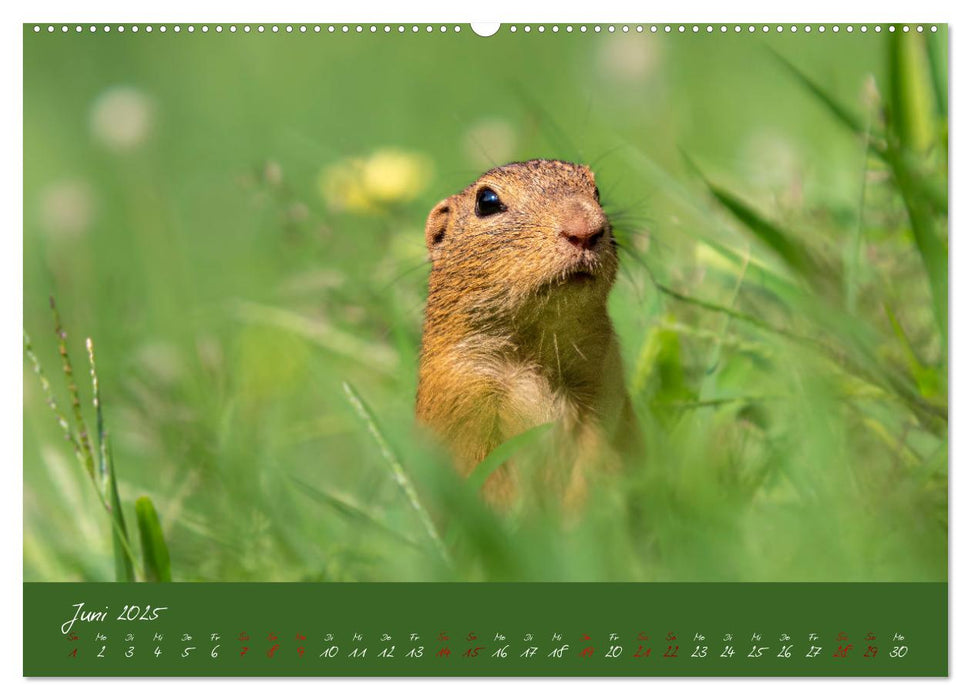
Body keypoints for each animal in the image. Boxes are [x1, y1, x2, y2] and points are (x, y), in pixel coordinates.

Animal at [416, 161, 636, 506]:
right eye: (487, 201)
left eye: (597, 191)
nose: (585, 229)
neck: (534, 350)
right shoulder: (462, 392)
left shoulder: (603, 381)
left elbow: (599, 458)